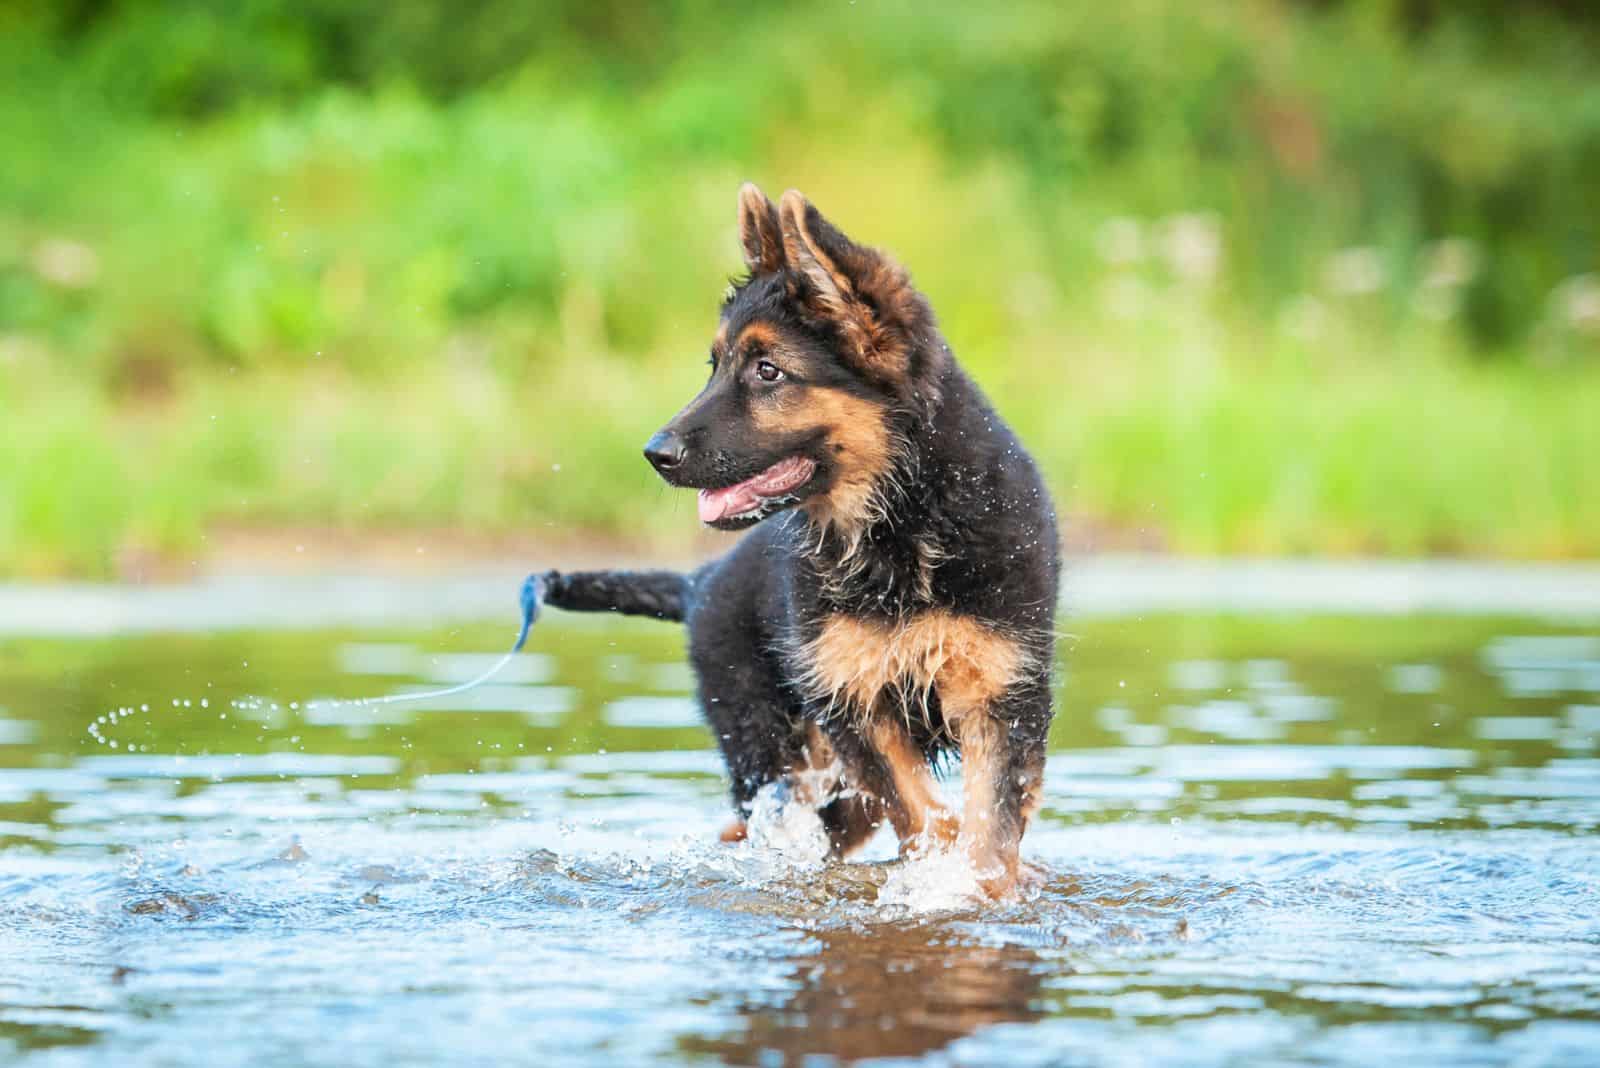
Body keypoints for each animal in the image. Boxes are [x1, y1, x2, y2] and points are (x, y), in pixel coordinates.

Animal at [537, 187, 1062, 895]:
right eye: (714, 366)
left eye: (768, 371)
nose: (655, 454)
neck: (902, 521)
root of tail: (702, 582)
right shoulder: (852, 706)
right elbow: (928, 815)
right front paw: (945, 874)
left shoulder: (1003, 694)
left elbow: (988, 824)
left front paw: (979, 885)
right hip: (772, 747)